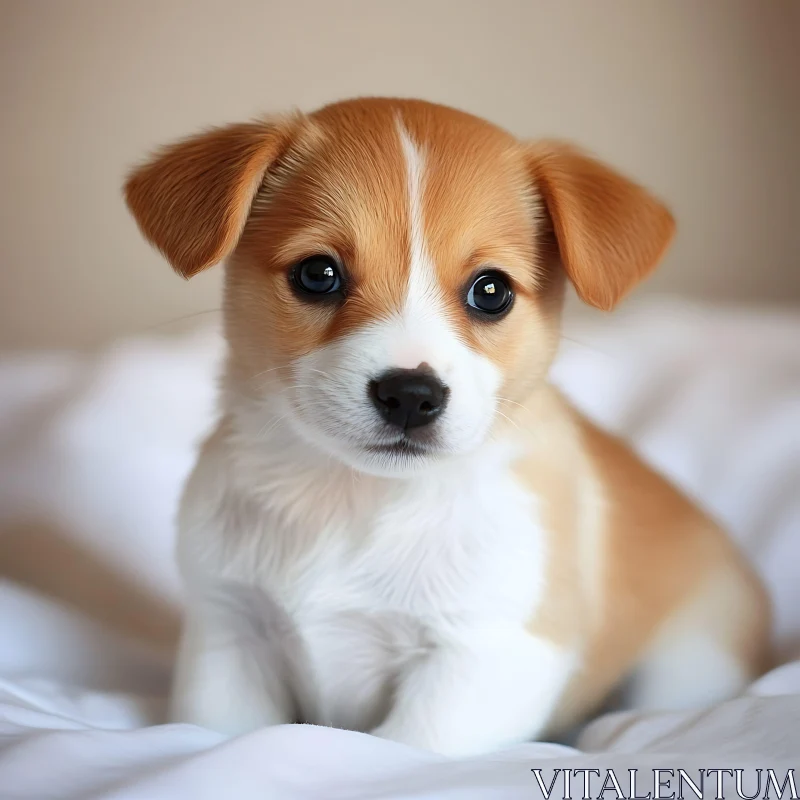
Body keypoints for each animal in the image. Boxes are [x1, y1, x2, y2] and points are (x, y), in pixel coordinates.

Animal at [123, 98, 768, 756]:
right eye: (317, 274)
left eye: (492, 290)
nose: (410, 395)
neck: (353, 500)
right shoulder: (230, 635)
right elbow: (217, 733)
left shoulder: (482, 659)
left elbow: (411, 747)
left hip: (687, 666)